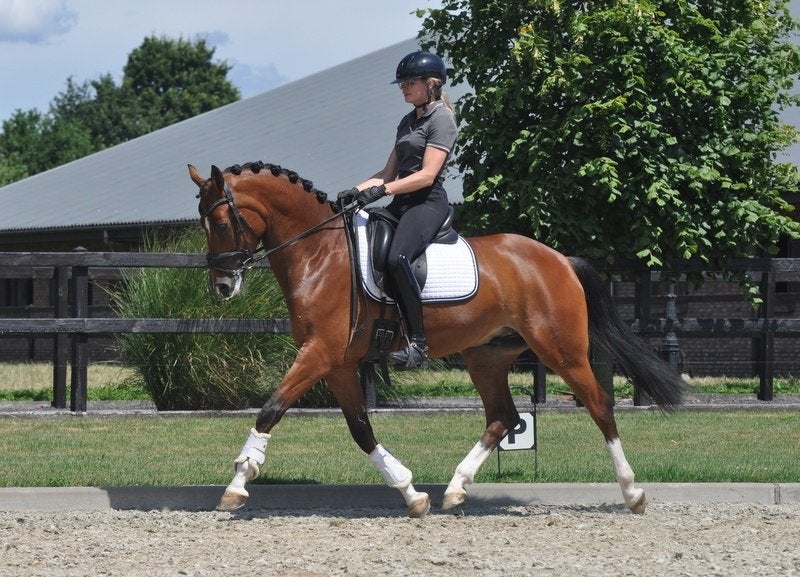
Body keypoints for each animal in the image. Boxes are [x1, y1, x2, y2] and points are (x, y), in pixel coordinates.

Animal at [189, 161, 684, 517]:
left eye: (221, 221)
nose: (222, 286)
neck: (320, 254)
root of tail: (560, 259)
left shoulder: (320, 354)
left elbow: (271, 408)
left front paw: (237, 484)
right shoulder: (339, 362)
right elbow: (361, 429)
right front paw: (410, 493)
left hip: (560, 349)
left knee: (599, 404)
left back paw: (633, 493)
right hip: (486, 356)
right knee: (503, 417)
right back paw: (455, 488)